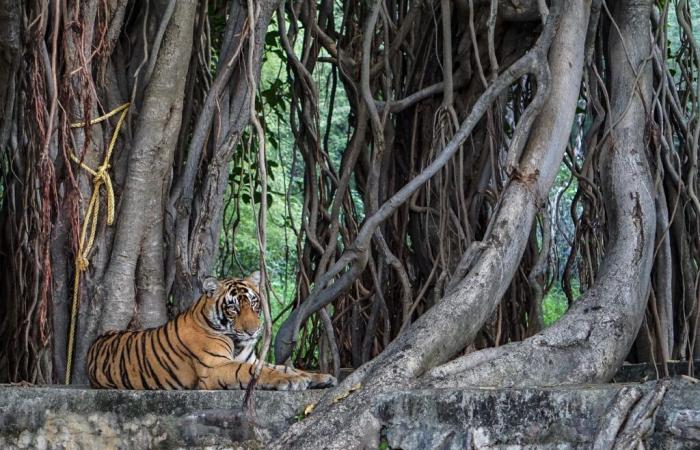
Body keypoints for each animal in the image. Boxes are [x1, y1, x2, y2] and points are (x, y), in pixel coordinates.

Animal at [85, 270, 336, 390]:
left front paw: (318, 377)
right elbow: (255, 372)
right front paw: (293, 381)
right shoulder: (214, 367)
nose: (253, 331)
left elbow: (284, 366)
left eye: (255, 304)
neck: (237, 343)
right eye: (233, 308)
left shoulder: (253, 358)